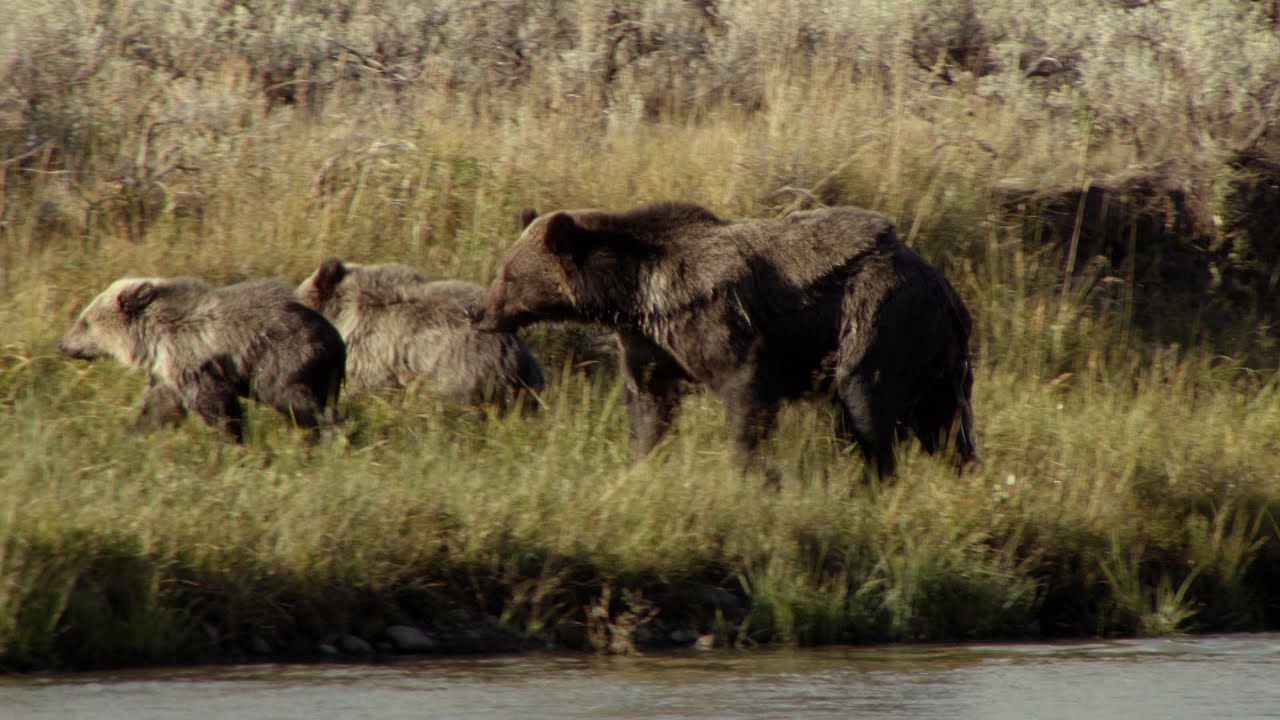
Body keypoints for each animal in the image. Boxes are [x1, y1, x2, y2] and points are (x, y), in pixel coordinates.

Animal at [59, 276, 346, 441]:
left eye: (84, 321)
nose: (62, 344)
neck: (152, 338)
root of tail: (337, 340)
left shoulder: (191, 360)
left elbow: (215, 404)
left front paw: (230, 440)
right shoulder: (167, 371)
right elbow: (158, 405)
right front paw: (133, 431)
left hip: (284, 358)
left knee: (293, 399)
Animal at [471, 201, 977, 478]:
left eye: (509, 274)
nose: (479, 311)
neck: (636, 293)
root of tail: (941, 284)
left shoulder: (715, 318)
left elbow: (745, 387)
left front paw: (745, 467)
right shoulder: (650, 341)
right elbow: (649, 400)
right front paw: (642, 457)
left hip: (877, 316)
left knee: (864, 399)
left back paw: (875, 477)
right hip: (939, 352)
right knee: (947, 422)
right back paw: (959, 473)